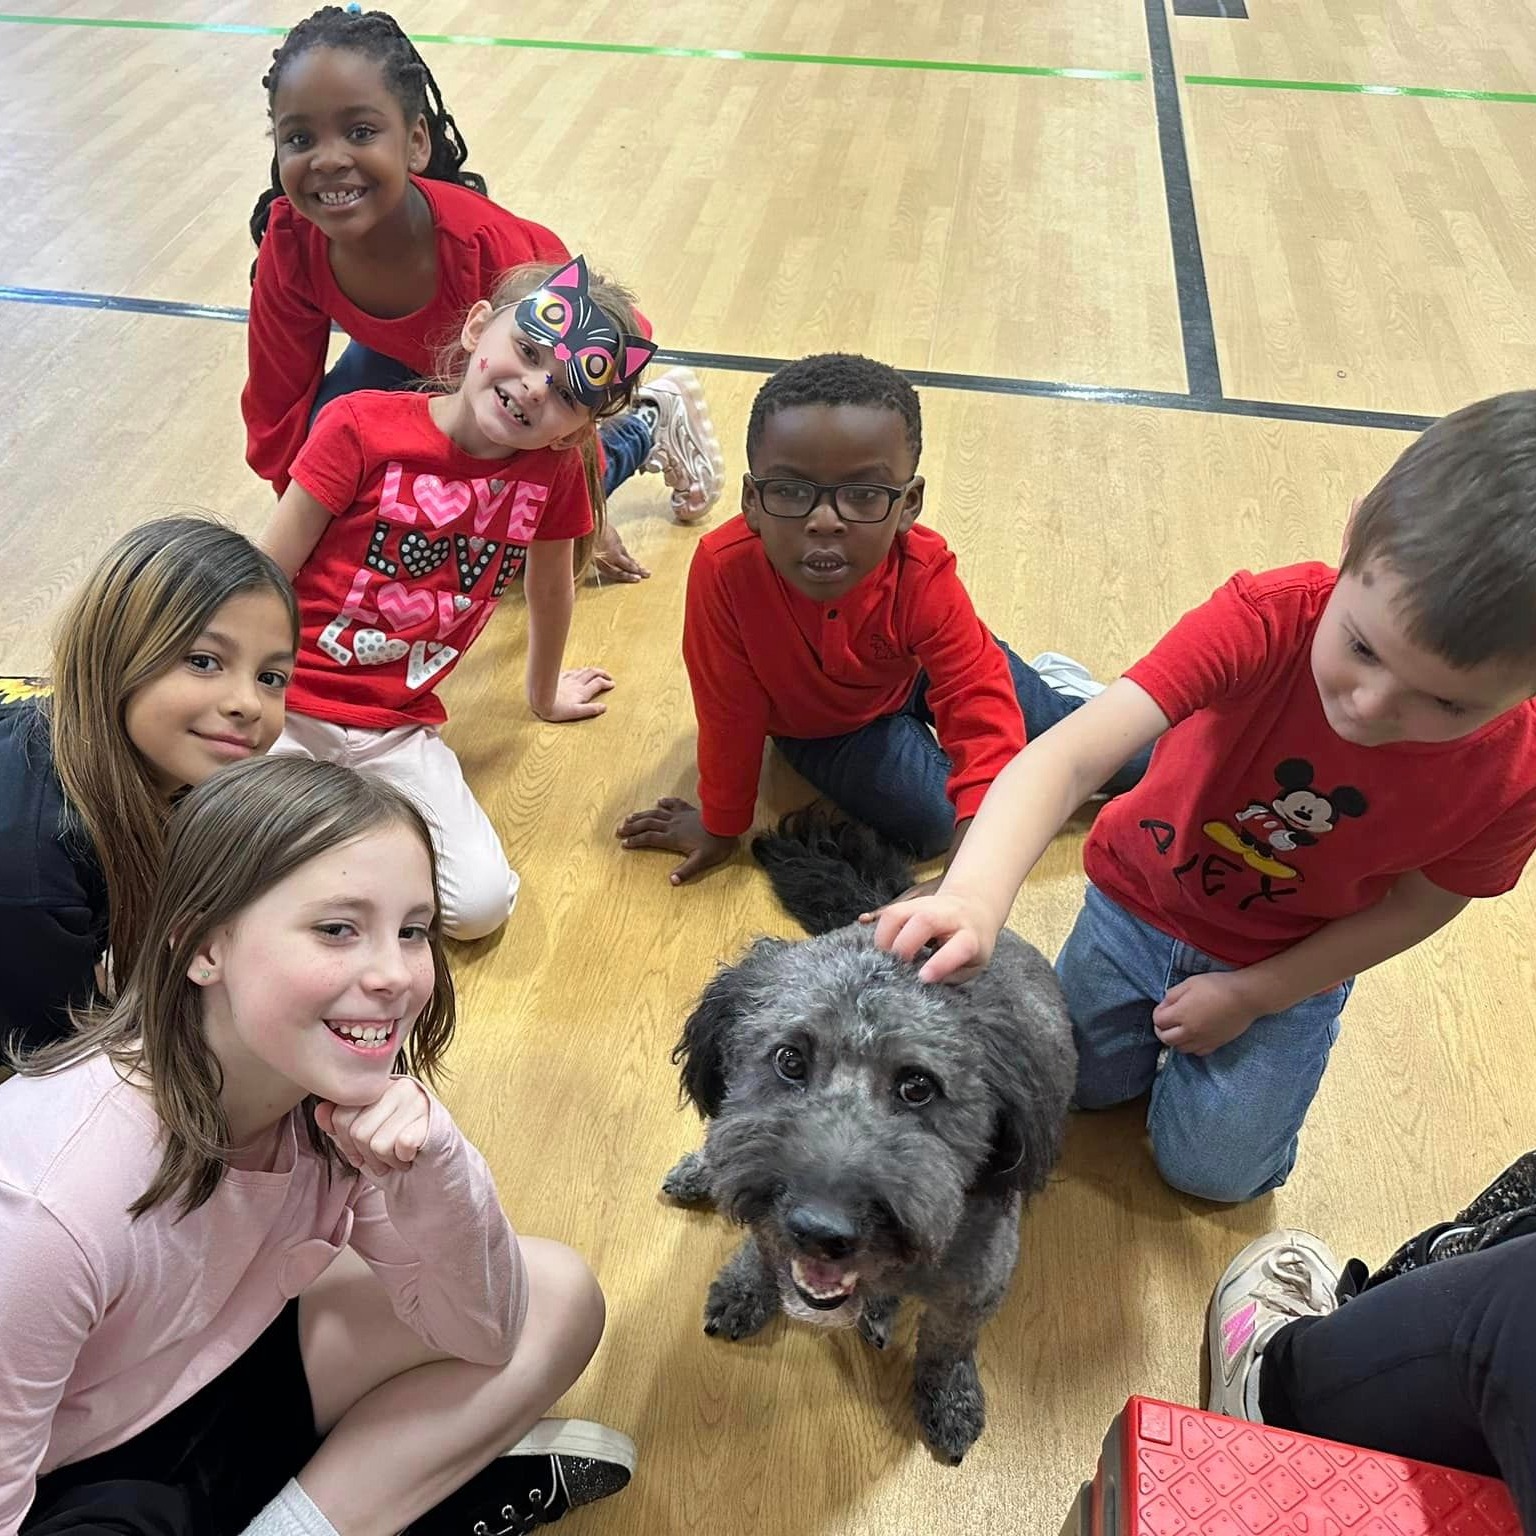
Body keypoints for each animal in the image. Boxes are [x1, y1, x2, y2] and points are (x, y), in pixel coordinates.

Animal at [663, 817, 1081, 1462]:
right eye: (789, 1059)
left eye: (918, 1087)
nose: (820, 1230)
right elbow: (759, 1245)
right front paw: (746, 1285)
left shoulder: (976, 1287)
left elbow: (946, 1347)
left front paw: (948, 1398)